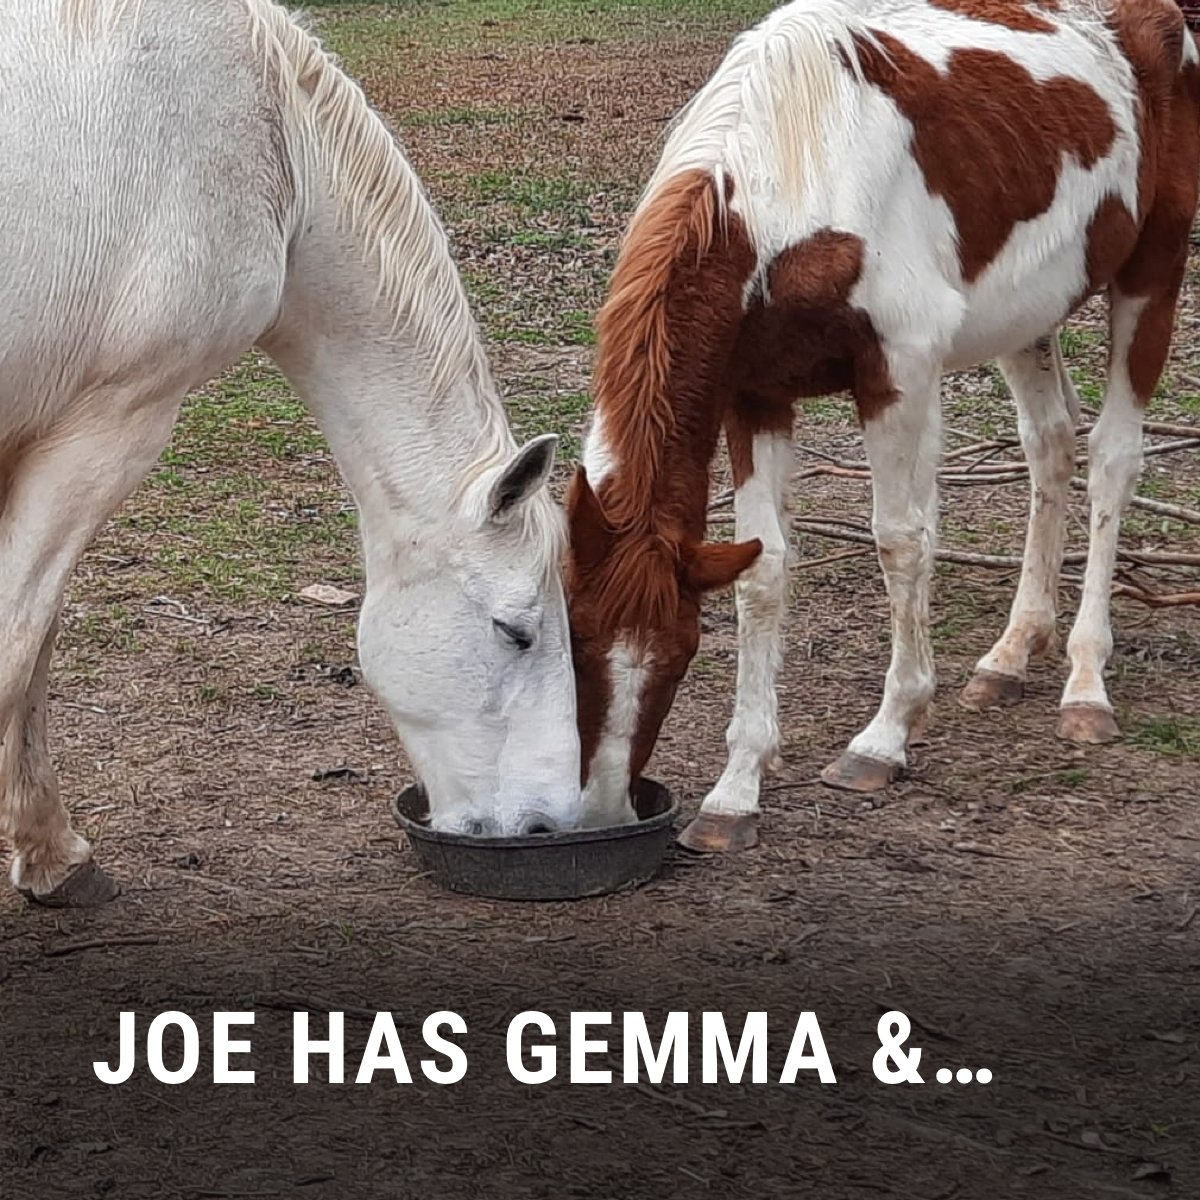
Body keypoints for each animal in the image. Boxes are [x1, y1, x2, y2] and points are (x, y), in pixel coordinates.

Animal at [0, 0, 586, 907]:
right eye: (516, 631)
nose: (544, 825)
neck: (267, 125)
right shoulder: (106, 427)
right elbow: (18, 642)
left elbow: (34, 647)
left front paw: (49, 854)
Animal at [565, 0, 1200, 850]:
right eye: (572, 643)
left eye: (678, 656)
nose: (605, 810)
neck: (789, 180)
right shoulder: (754, 394)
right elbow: (764, 571)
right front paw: (737, 788)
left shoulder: (897, 370)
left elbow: (900, 542)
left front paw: (886, 736)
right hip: (1028, 313)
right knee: (1050, 445)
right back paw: (1010, 654)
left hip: (1152, 273)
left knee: (1113, 460)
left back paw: (1084, 683)